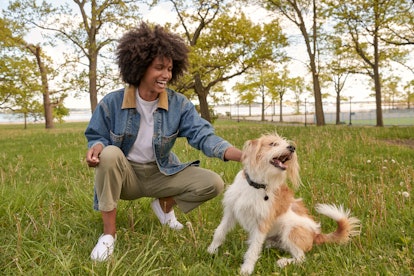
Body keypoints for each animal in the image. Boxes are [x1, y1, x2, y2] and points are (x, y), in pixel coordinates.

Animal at [209, 133, 360, 274]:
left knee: (301, 257)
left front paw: (246, 269)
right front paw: (212, 250)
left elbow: (253, 248)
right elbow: (220, 231)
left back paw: (283, 262)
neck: (257, 186)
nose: (292, 147)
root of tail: (316, 235)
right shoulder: (230, 211)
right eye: (273, 143)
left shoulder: (262, 223)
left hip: (290, 230)